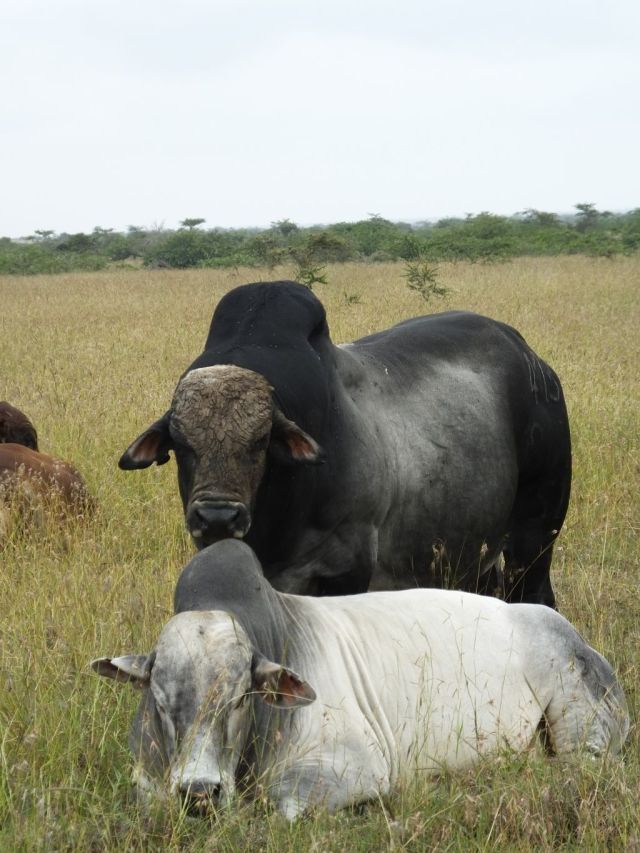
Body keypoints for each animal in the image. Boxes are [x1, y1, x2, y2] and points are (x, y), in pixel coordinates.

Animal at [92, 540, 628, 819]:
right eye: (159, 701)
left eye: (242, 698)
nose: (200, 792)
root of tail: (582, 642)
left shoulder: (354, 768)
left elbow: (284, 807)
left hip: (585, 735)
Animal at [119, 281, 571, 607]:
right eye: (181, 443)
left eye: (262, 440)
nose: (217, 517)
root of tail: (531, 358)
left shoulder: (346, 571)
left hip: (535, 533)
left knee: (535, 594)